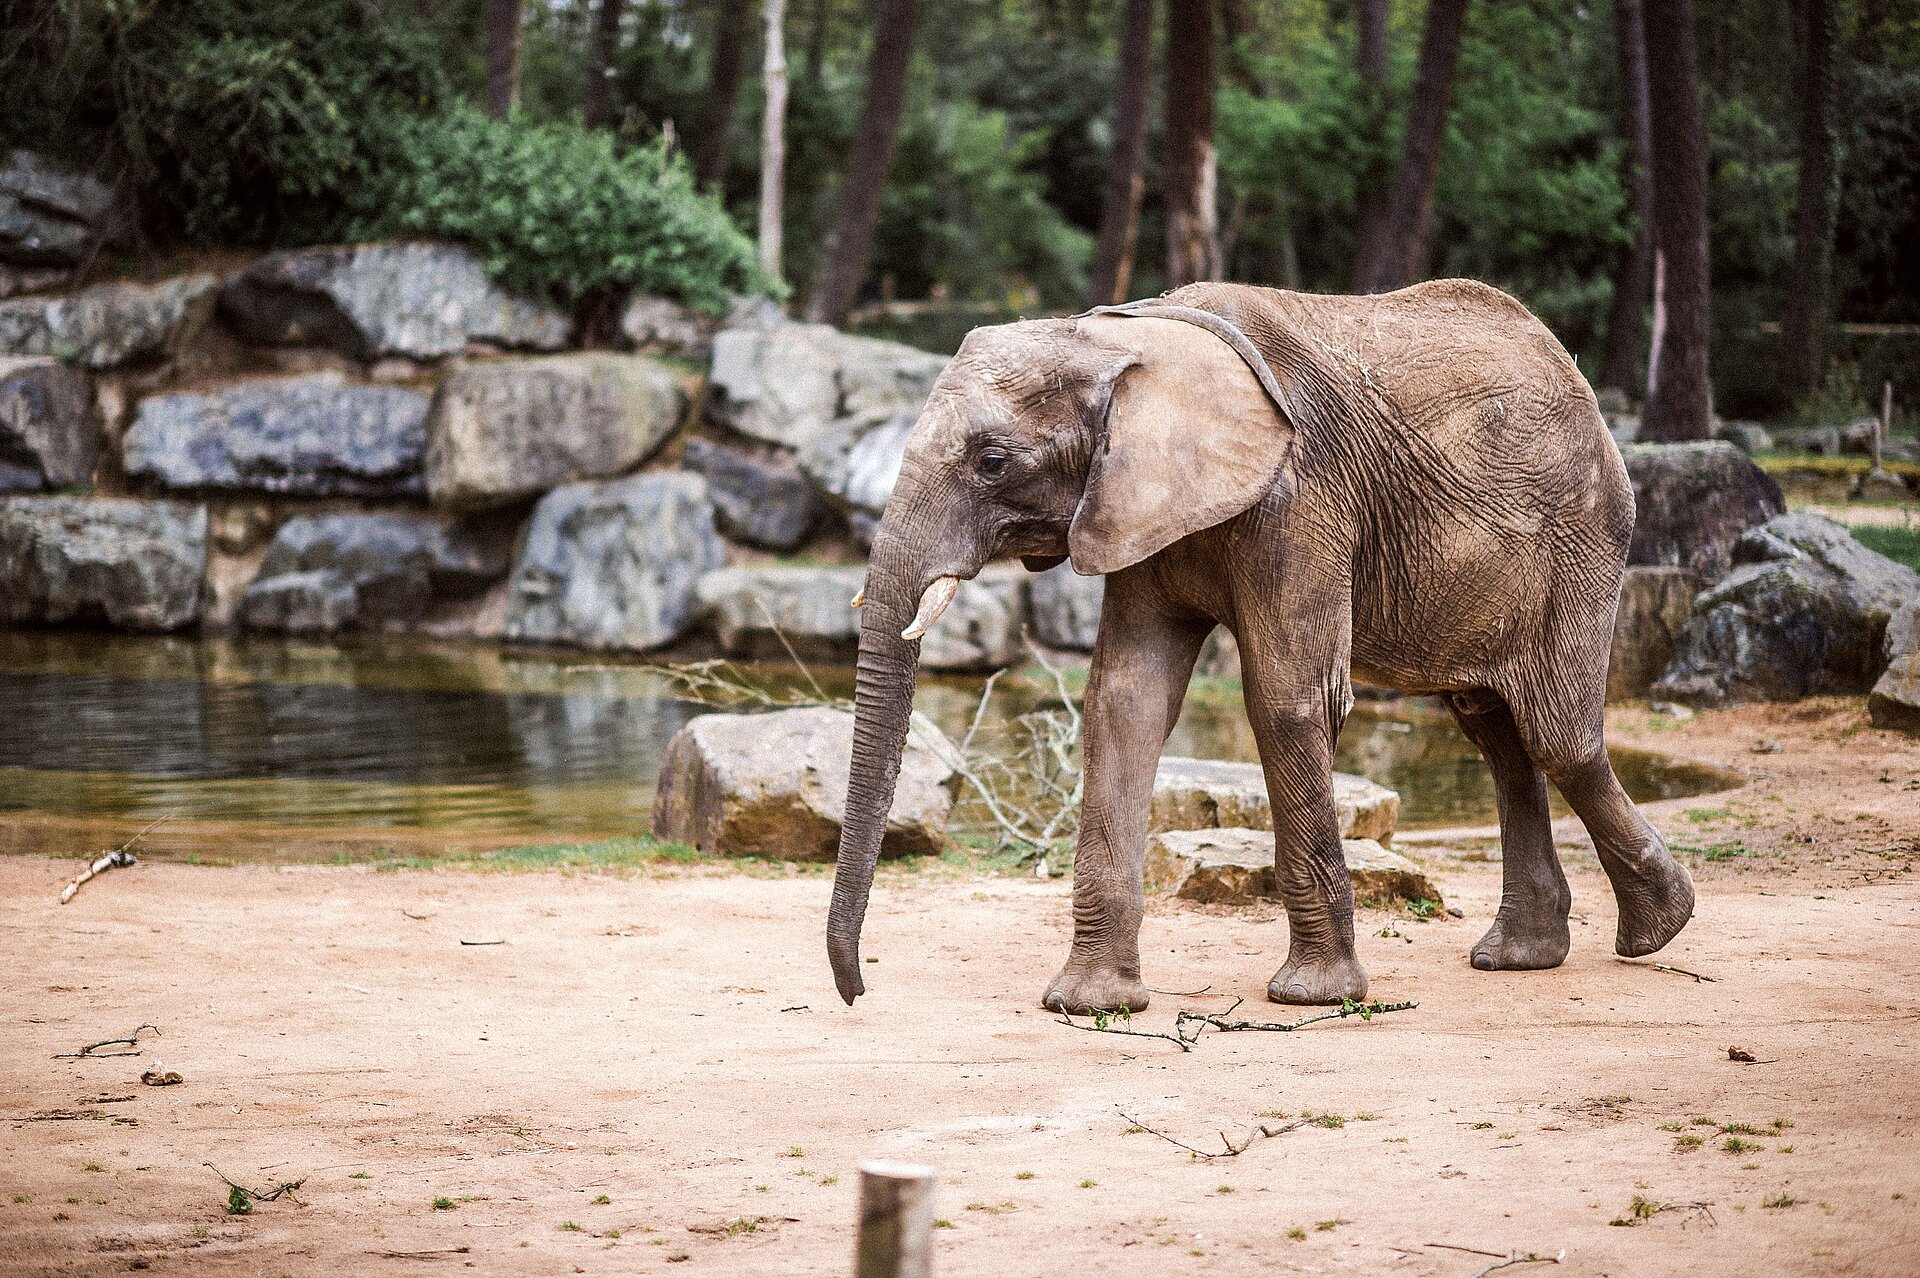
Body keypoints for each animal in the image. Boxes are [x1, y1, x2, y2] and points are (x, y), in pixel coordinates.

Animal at [825, 274, 1697, 1013]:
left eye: (993, 460)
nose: (859, 994)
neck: (1126, 336)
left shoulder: (1301, 497)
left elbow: (1287, 701)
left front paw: (1314, 998)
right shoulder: (1135, 507)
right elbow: (1125, 701)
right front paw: (1091, 1006)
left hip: (1582, 537)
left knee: (1555, 735)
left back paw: (1657, 930)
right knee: (1497, 733)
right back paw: (1526, 955)